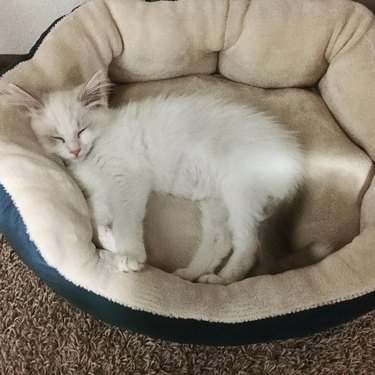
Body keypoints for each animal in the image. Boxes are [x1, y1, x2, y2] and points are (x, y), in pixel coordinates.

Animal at [3, 71, 306, 284]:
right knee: (220, 241)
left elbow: (125, 222)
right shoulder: (100, 192)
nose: (75, 150)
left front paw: (129, 255)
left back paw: (222, 279)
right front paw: (112, 243)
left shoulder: (128, 181)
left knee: (247, 245)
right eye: (57, 138)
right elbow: (95, 220)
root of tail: (295, 159)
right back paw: (191, 274)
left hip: (239, 192)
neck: (96, 149)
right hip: (215, 201)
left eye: (81, 130)